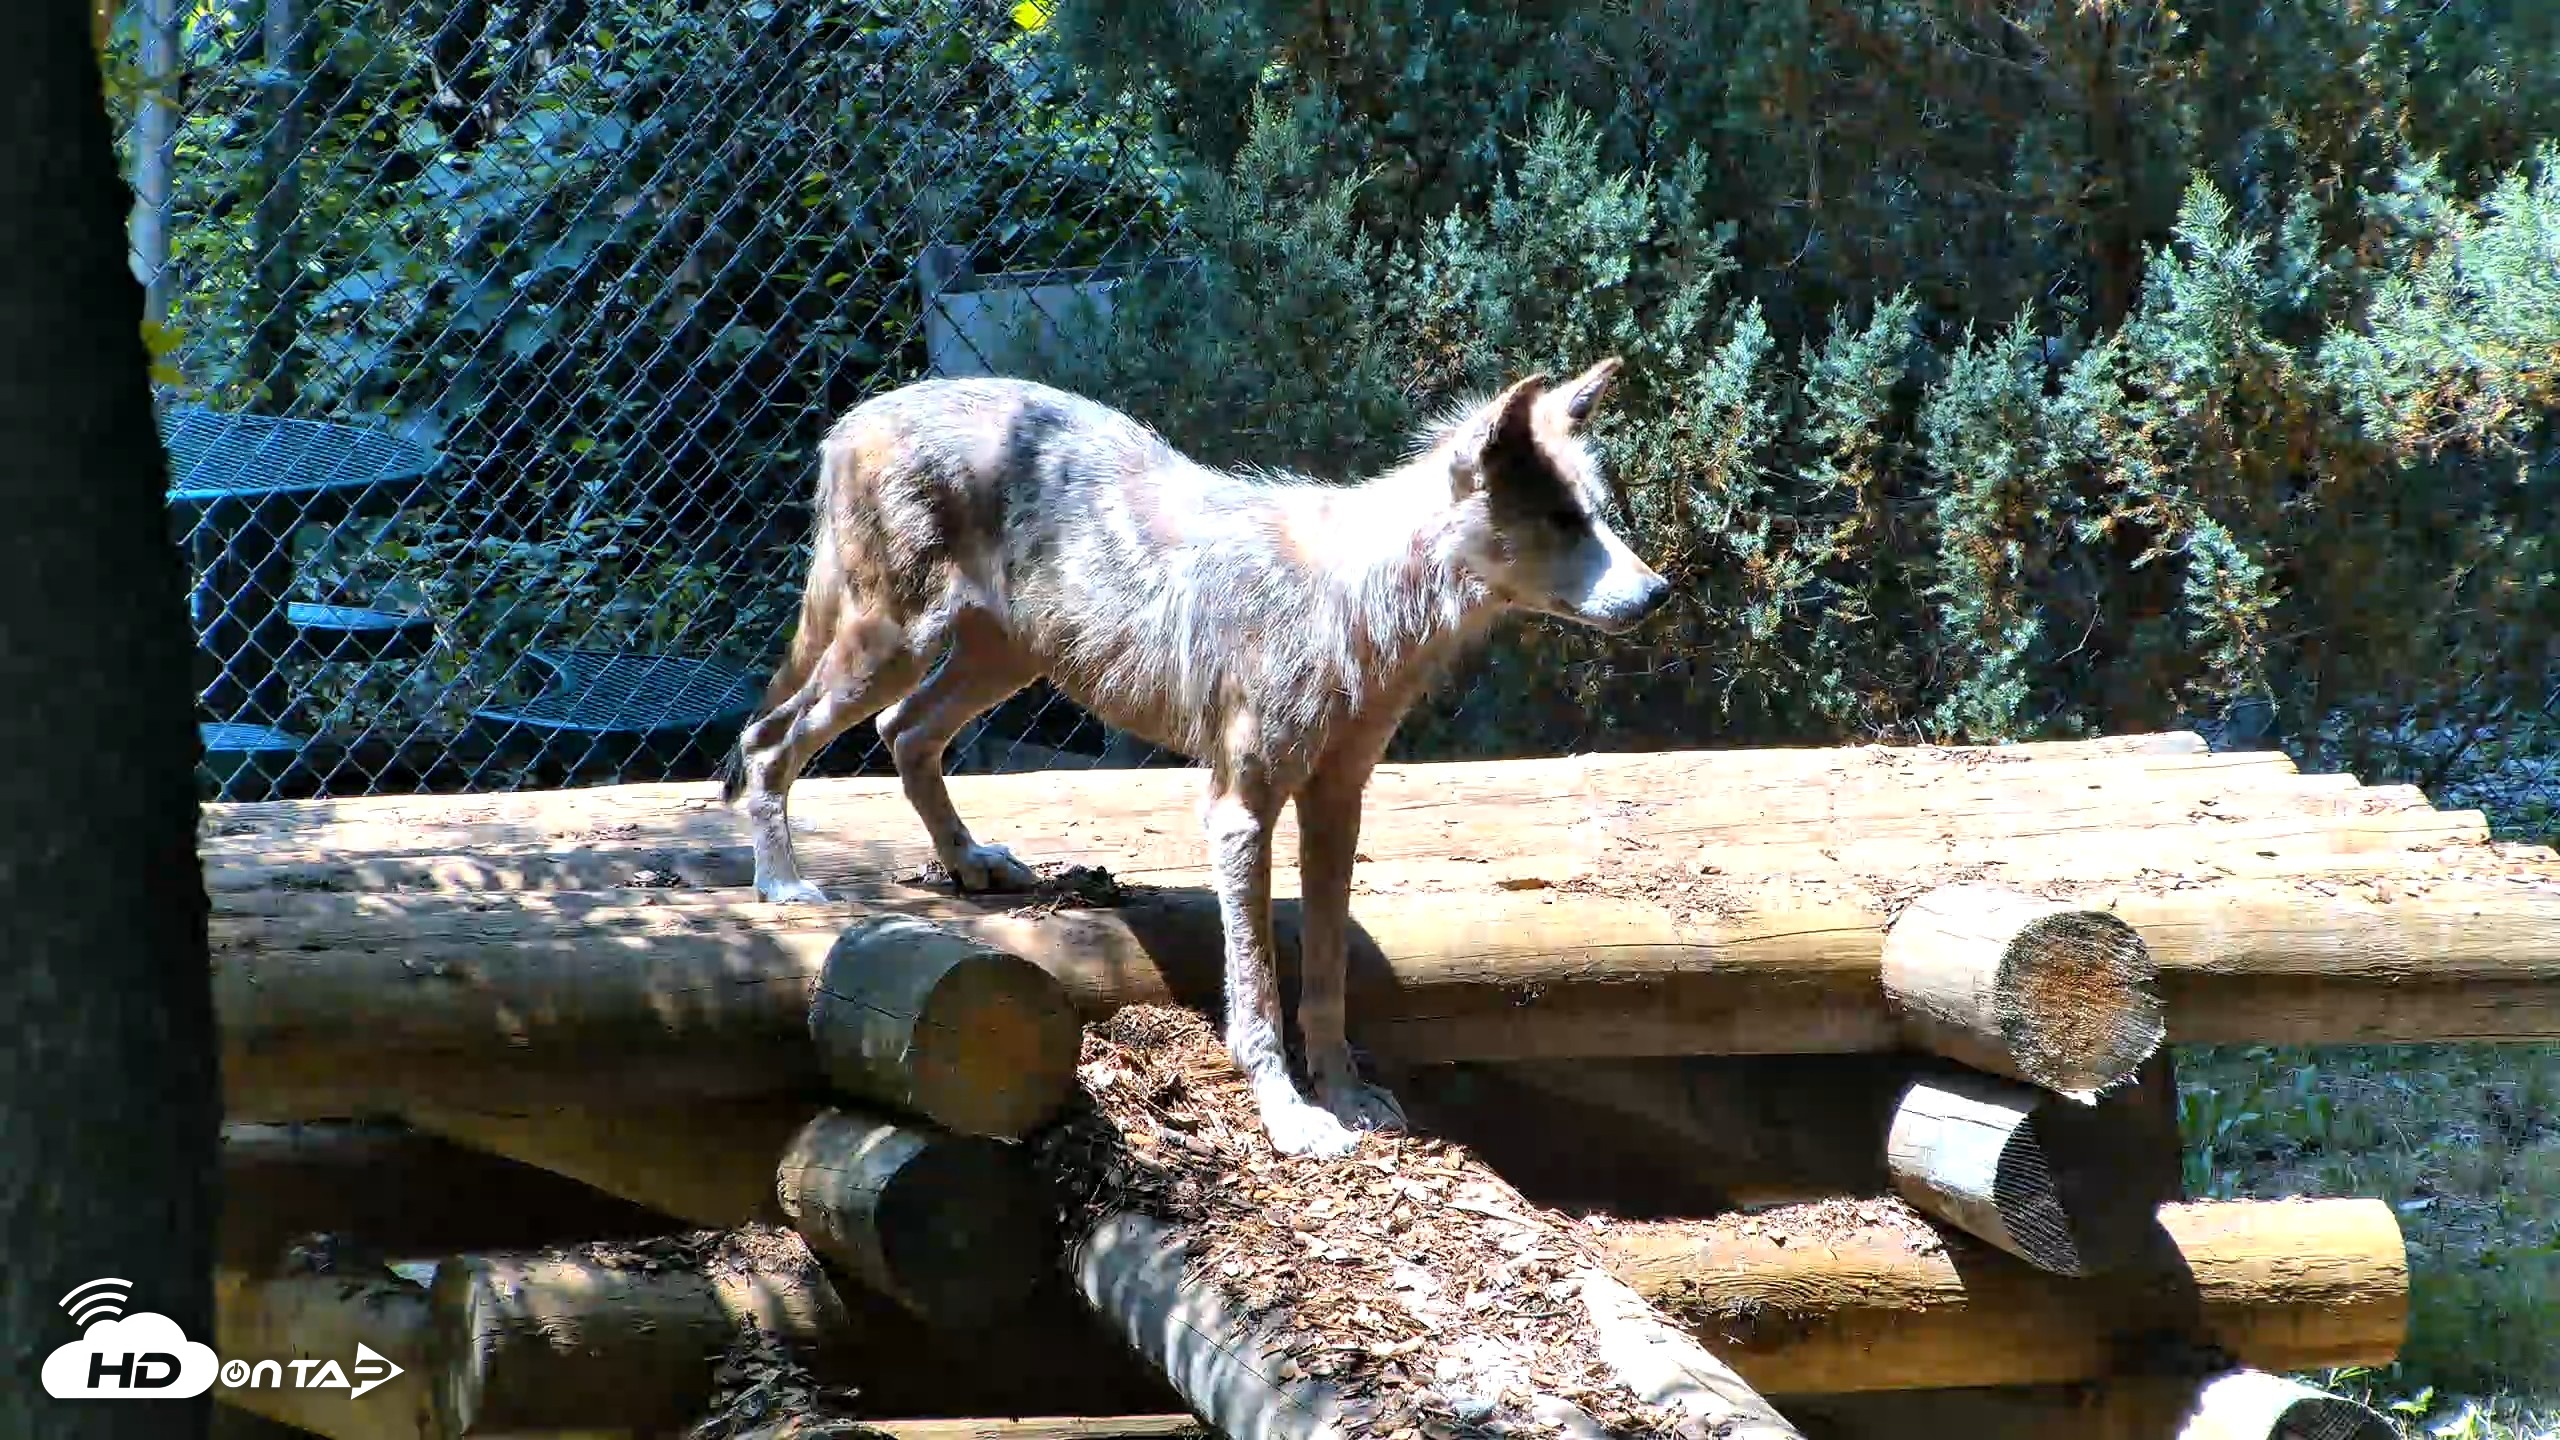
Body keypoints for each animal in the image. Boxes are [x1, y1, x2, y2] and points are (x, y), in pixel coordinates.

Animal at [721, 359, 1670, 1157]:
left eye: (1598, 513)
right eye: (1564, 522)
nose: (1659, 593)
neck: (1357, 600)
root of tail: (856, 417)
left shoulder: (1337, 805)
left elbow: (1325, 982)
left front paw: (1344, 1096)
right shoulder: (1240, 812)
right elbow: (1256, 995)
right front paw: (1291, 1117)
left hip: (998, 659)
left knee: (905, 734)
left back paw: (970, 864)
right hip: (892, 649)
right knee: (768, 742)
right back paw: (783, 884)